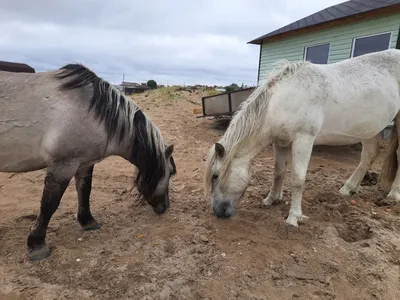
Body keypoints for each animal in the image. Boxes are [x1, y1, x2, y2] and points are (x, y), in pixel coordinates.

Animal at [0, 63, 177, 260]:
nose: (165, 207)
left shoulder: (84, 163)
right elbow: (49, 204)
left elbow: (84, 190)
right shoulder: (63, 165)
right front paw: (37, 244)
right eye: (171, 173)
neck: (92, 111)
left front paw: (87, 222)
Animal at [206, 48, 400, 227]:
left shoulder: (303, 140)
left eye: (215, 176)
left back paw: (393, 194)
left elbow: (297, 179)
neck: (284, 100)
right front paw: (271, 199)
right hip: (368, 128)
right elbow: (278, 172)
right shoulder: (280, 142)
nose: (218, 212)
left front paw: (293, 217)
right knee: (369, 155)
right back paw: (348, 188)